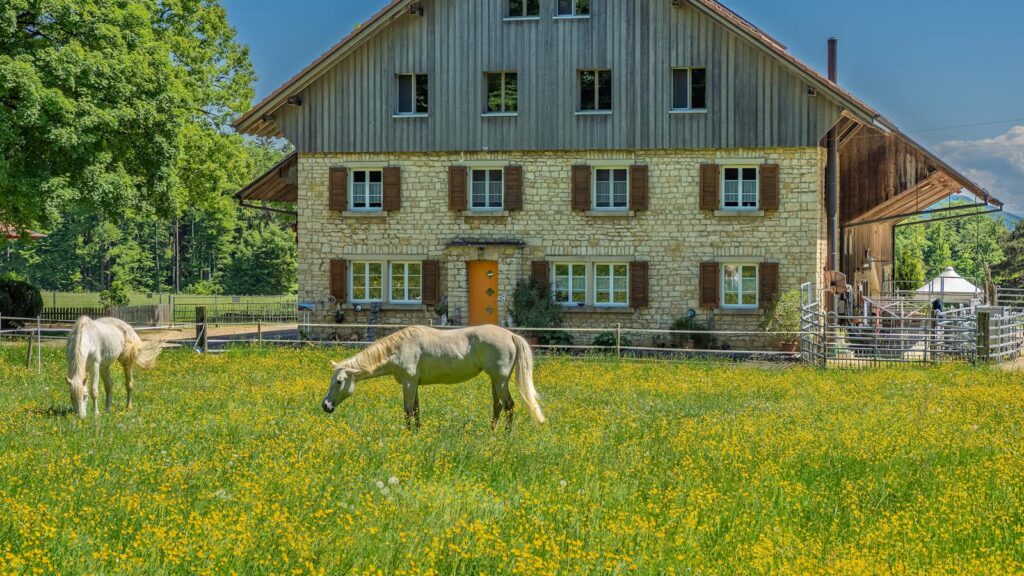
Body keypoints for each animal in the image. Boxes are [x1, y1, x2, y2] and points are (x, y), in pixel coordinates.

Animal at [321, 325, 546, 430]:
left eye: (339, 382)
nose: (326, 406)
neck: (398, 349)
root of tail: (510, 335)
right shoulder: (414, 384)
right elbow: (416, 410)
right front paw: (417, 433)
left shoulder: (409, 383)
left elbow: (407, 410)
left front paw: (407, 434)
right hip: (495, 380)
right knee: (498, 406)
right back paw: (491, 434)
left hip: (500, 380)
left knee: (509, 405)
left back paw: (506, 436)